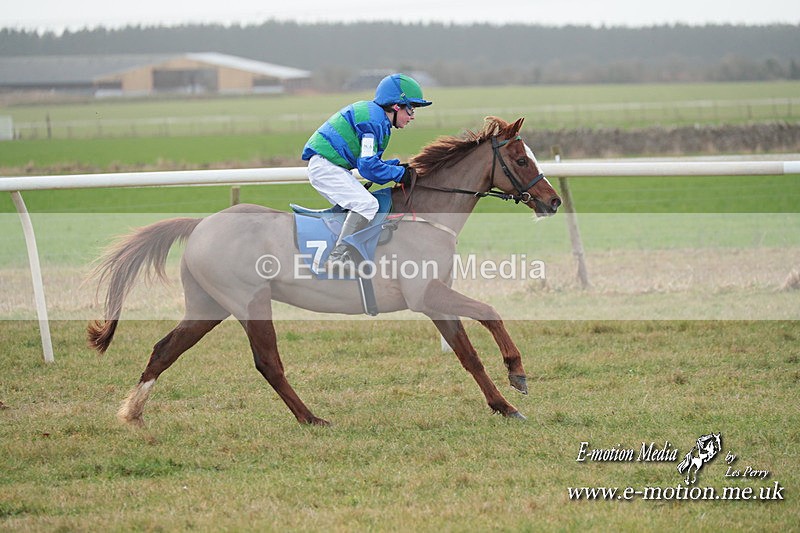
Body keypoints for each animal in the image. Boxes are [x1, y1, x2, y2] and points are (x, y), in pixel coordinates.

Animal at [87, 116, 562, 427]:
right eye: (521, 160)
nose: (553, 201)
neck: (425, 216)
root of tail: (201, 223)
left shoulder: (434, 301)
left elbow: (468, 355)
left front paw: (503, 405)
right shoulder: (426, 295)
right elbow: (489, 313)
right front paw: (517, 373)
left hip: (207, 306)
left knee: (164, 349)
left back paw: (133, 412)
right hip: (249, 301)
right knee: (268, 363)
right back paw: (311, 418)